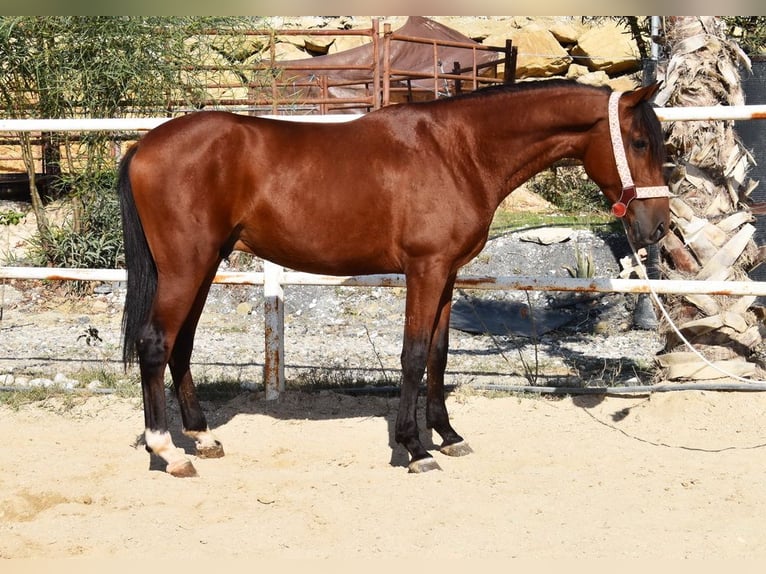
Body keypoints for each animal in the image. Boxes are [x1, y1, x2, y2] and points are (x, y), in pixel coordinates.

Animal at [117, 79, 668, 480]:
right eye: (640, 141)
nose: (659, 226)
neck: (458, 151)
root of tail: (144, 146)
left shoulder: (447, 273)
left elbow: (439, 355)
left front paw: (448, 436)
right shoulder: (424, 269)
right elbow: (414, 355)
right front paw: (414, 448)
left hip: (206, 264)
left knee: (181, 344)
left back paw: (202, 438)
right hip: (186, 267)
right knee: (155, 343)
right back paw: (169, 451)